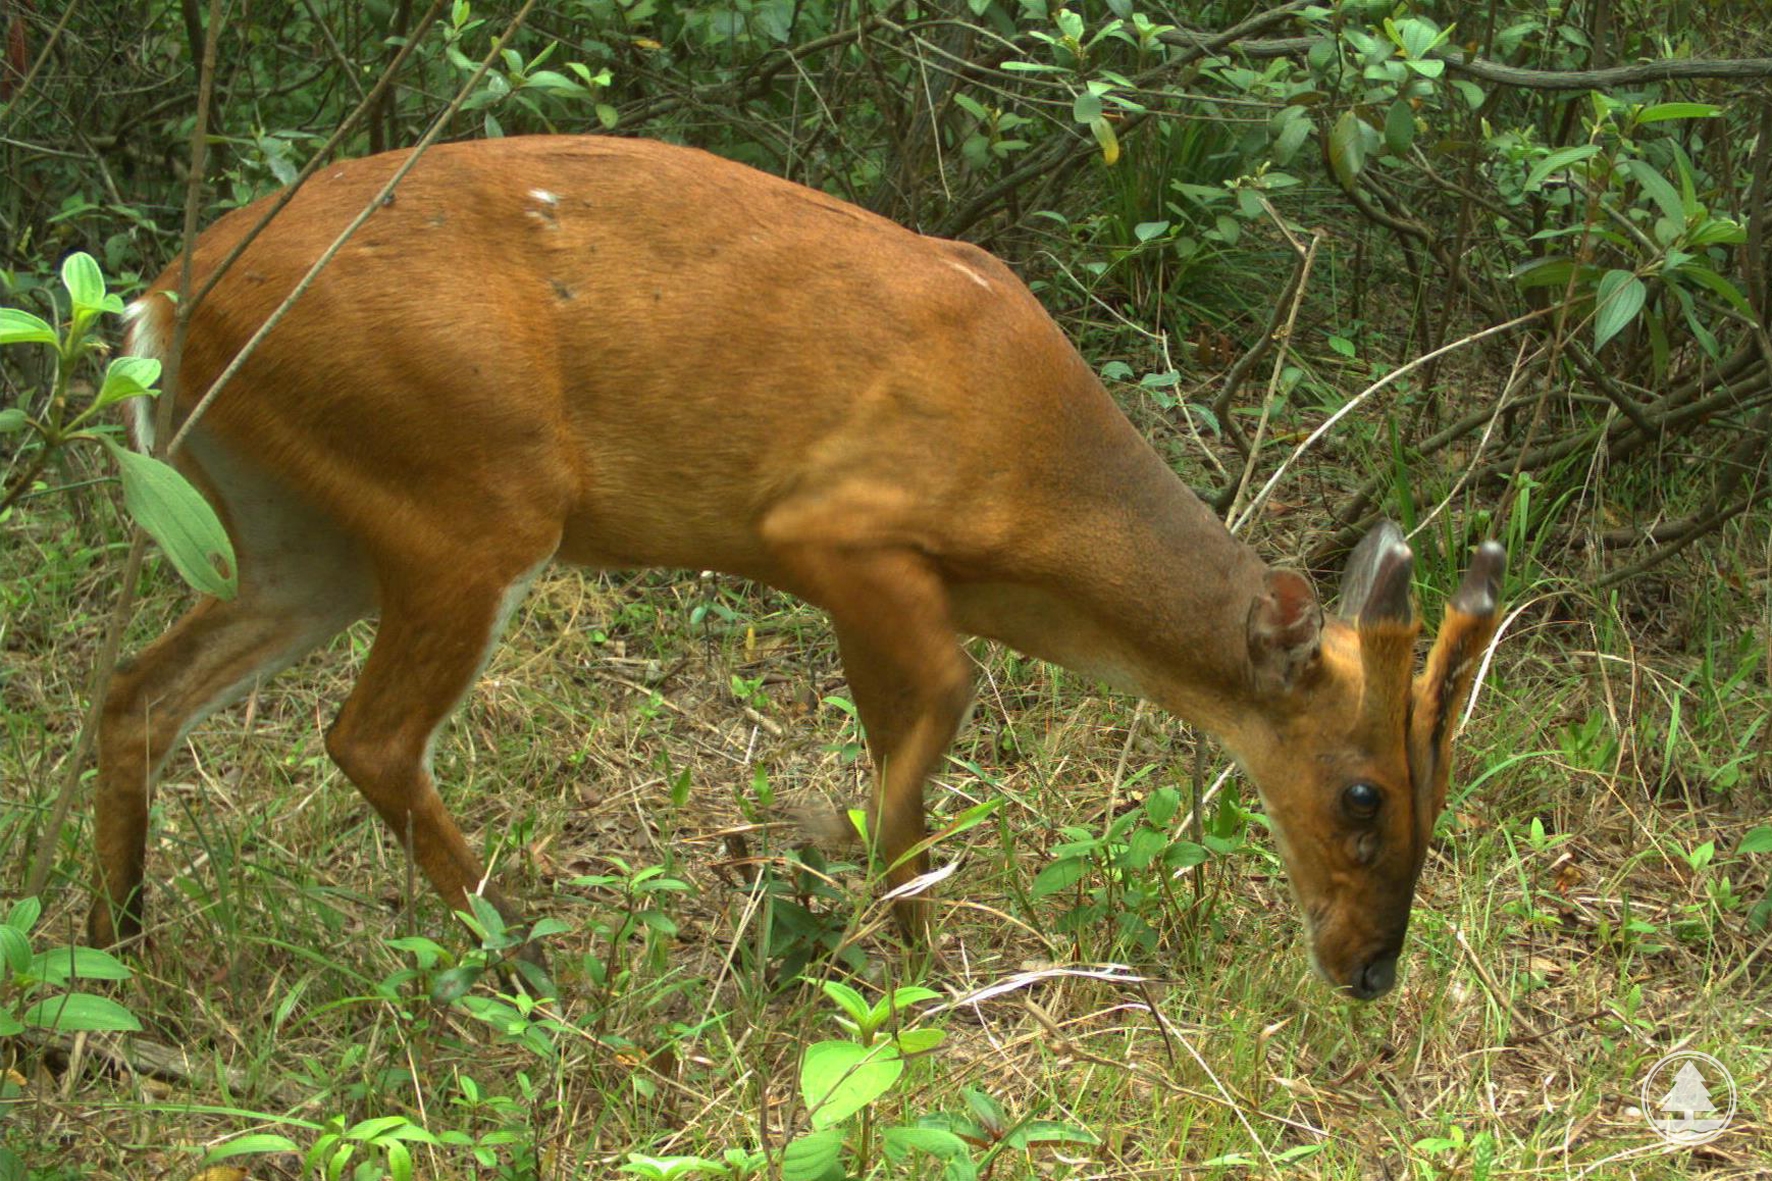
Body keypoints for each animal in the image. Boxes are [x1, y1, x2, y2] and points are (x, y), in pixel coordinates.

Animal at [97, 132, 1502, 1000]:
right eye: (1362, 794)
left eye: (1438, 791)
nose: (1371, 968)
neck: (1035, 495)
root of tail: (162, 305)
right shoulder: (829, 523)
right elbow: (933, 719)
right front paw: (862, 907)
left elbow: (914, 740)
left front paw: (878, 937)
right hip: (471, 488)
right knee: (368, 734)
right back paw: (536, 967)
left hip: (302, 530)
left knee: (136, 691)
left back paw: (116, 956)